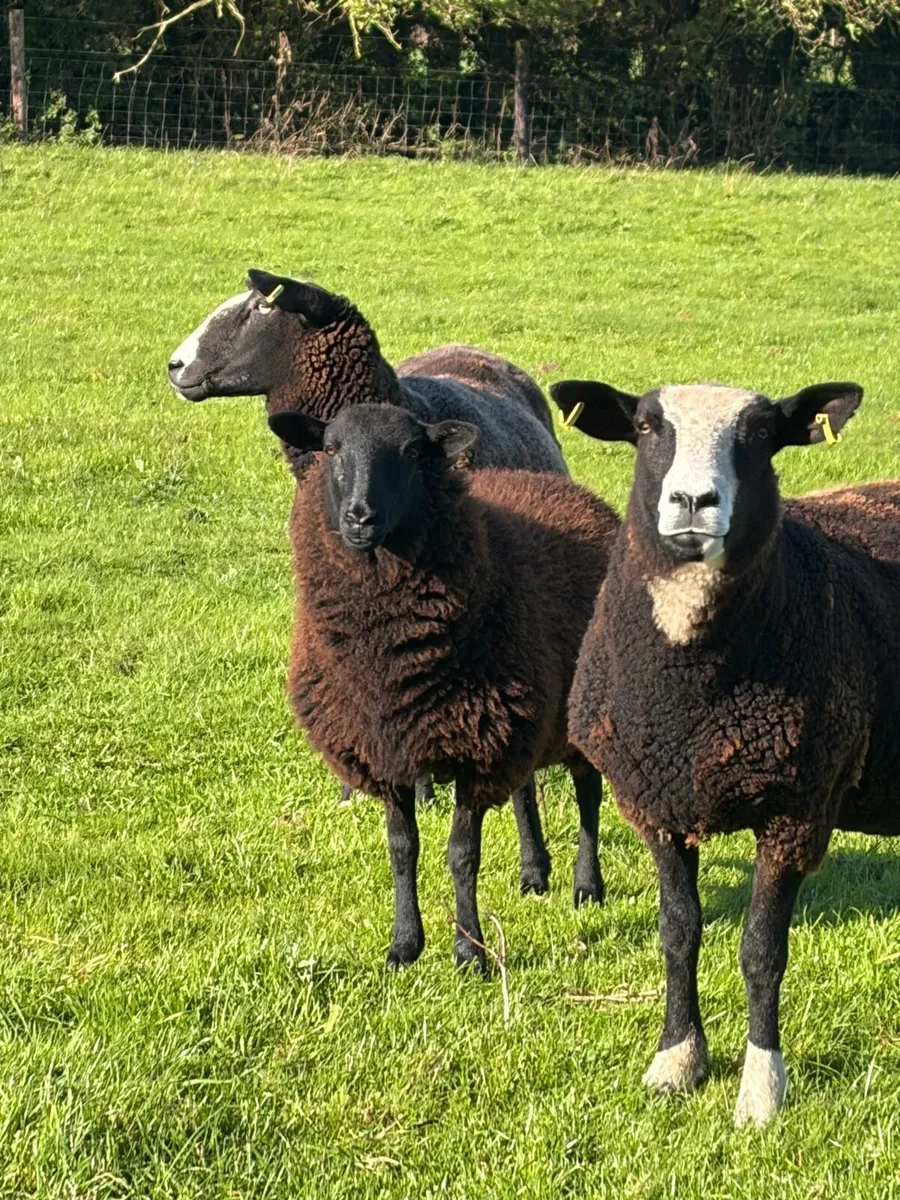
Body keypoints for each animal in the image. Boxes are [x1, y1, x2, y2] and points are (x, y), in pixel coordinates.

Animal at [267, 403, 620, 970]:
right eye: (331, 448)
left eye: (413, 452)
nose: (359, 518)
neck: (385, 663)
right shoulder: (389, 750)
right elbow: (401, 848)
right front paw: (404, 945)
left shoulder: (475, 754)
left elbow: (462, 855)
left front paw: (469, 951)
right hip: (523, 717)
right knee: (525, 791)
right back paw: (534, 871)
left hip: (579, 707)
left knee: (588, 793)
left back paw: (587, 887)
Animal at [551, 376, 900, 1127]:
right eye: (646, 427)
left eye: (763, 435)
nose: (692, 503)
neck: (693, 702)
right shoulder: (656, 802)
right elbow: (679, 932)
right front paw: (676, 1060)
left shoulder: (798, 808)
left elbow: (762, 952)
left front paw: (762, 1088)